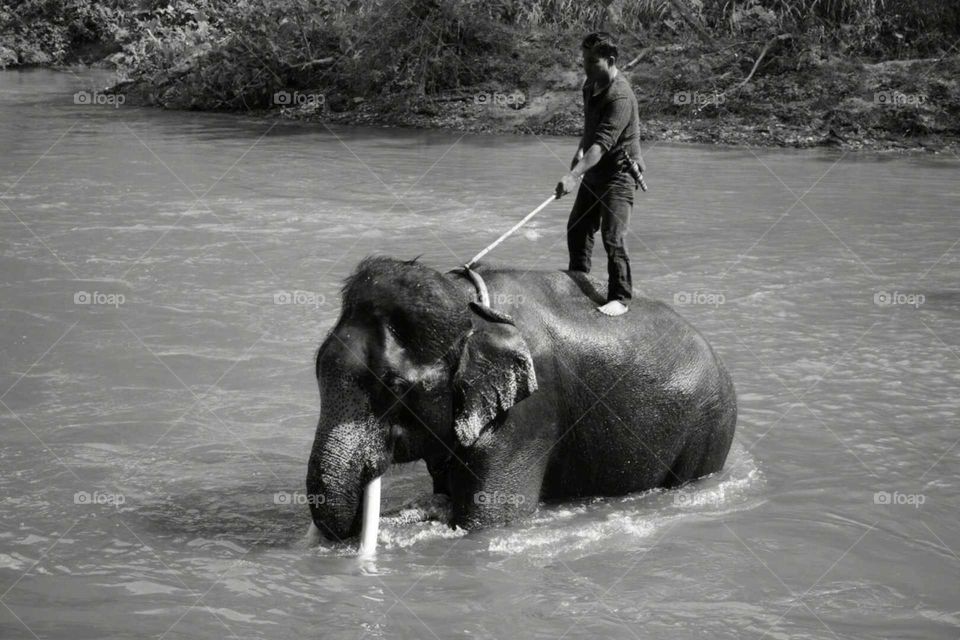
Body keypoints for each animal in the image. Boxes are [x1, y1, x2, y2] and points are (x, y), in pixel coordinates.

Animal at [305, 256, 736, 541]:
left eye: (394, 386)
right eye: (317, 368)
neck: (469, 307)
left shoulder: (526, 416)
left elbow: (488, 521)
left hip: (707, 431)